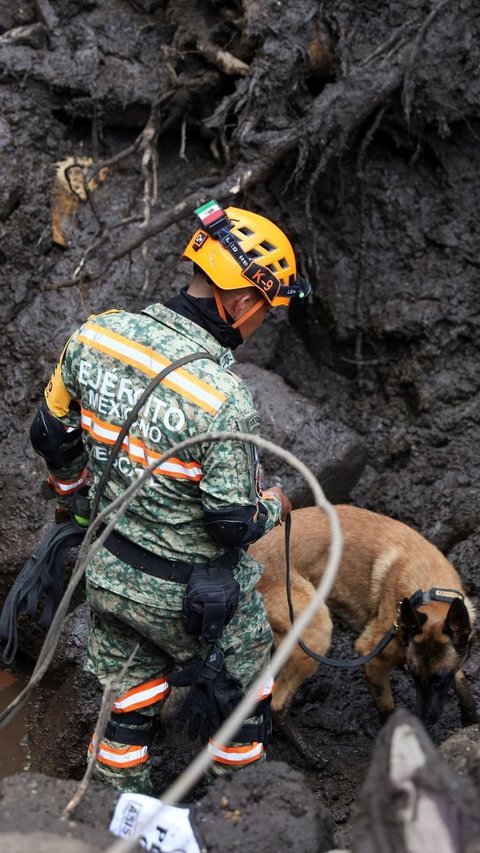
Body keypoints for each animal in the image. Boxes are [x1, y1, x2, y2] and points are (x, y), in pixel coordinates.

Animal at [251, 506, 476, 740]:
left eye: (439, 680)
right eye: (412, 676)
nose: (422, 720)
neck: (428, 591)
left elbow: (463, 686)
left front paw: (471, 721)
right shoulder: (372, 655)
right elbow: (387, 707)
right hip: (316, 633)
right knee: (276, 705)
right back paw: (308, 750)